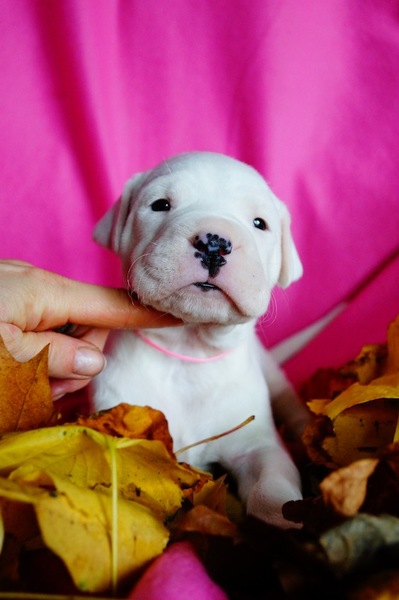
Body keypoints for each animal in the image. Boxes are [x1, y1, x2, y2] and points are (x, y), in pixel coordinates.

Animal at [92, 152, 308, 528]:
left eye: (259, 223)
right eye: (161, 205)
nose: (215, 242)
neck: (188, 345)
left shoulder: (255, 443)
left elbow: (271, 483)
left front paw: (282, 517)